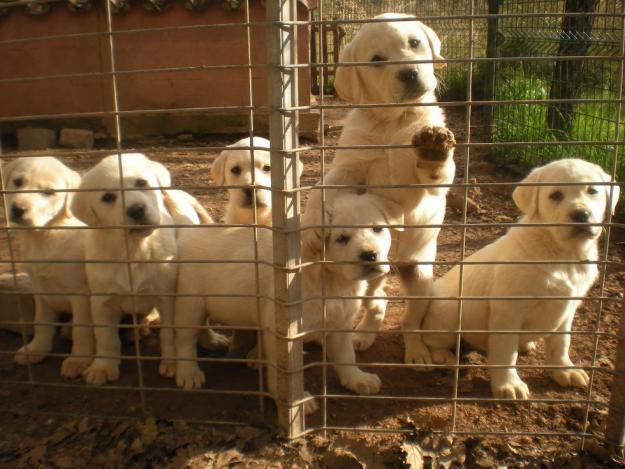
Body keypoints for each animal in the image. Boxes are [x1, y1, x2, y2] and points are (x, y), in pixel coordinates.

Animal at [2, 156, 94, 376]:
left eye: (49, 192)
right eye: (18, 182)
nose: (18, 209)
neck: (45, 235)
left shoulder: (80, 294)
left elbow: (82, 329)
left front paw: (78, 360)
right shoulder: (40, 289)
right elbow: (41, 322)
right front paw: (37, 349)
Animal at [71, 152, 212, 382]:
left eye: (141, 183)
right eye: (108, 198)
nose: (137, 210)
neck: (133, 250)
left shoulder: (167, 298)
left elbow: (168, 335)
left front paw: (172, 363)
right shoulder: (101, 302)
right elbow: (106, 338)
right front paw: (102, 366)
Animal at [173, 192, 402, 412]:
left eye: (378, 228)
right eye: (342, 239)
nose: (370, 255)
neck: (330, 279)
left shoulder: (340, 323)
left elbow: (346, 355)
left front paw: (357, 379)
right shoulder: (284, 333)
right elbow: (285, 372)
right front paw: (296, 401)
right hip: (190, 303)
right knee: (184, 339)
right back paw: (188, 373)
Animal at [302, 13, 454, 358]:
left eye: (414, 42)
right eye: (376, 60)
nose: (410, 72)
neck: (392, 122)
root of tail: (393, 263)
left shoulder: (429, 186)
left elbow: (436, 174)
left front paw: (432, 150)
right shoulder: (348, 167)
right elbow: (319, 189)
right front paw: (311, 225)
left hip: (419, 275)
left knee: (411, 319)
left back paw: (417, 352)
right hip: (369, 274)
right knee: (378, 301)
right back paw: (363, 335)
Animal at [416, 158, 616, 398]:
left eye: (593, 191)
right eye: (555, 195)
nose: (581, 215)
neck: (562, 253)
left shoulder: (567, 309)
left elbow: (561, 343)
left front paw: (564, 370)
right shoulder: (508, 311)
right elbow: (505, 352)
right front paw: (509, 384)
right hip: (448, 312)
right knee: (433, 339)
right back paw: (444, 356)